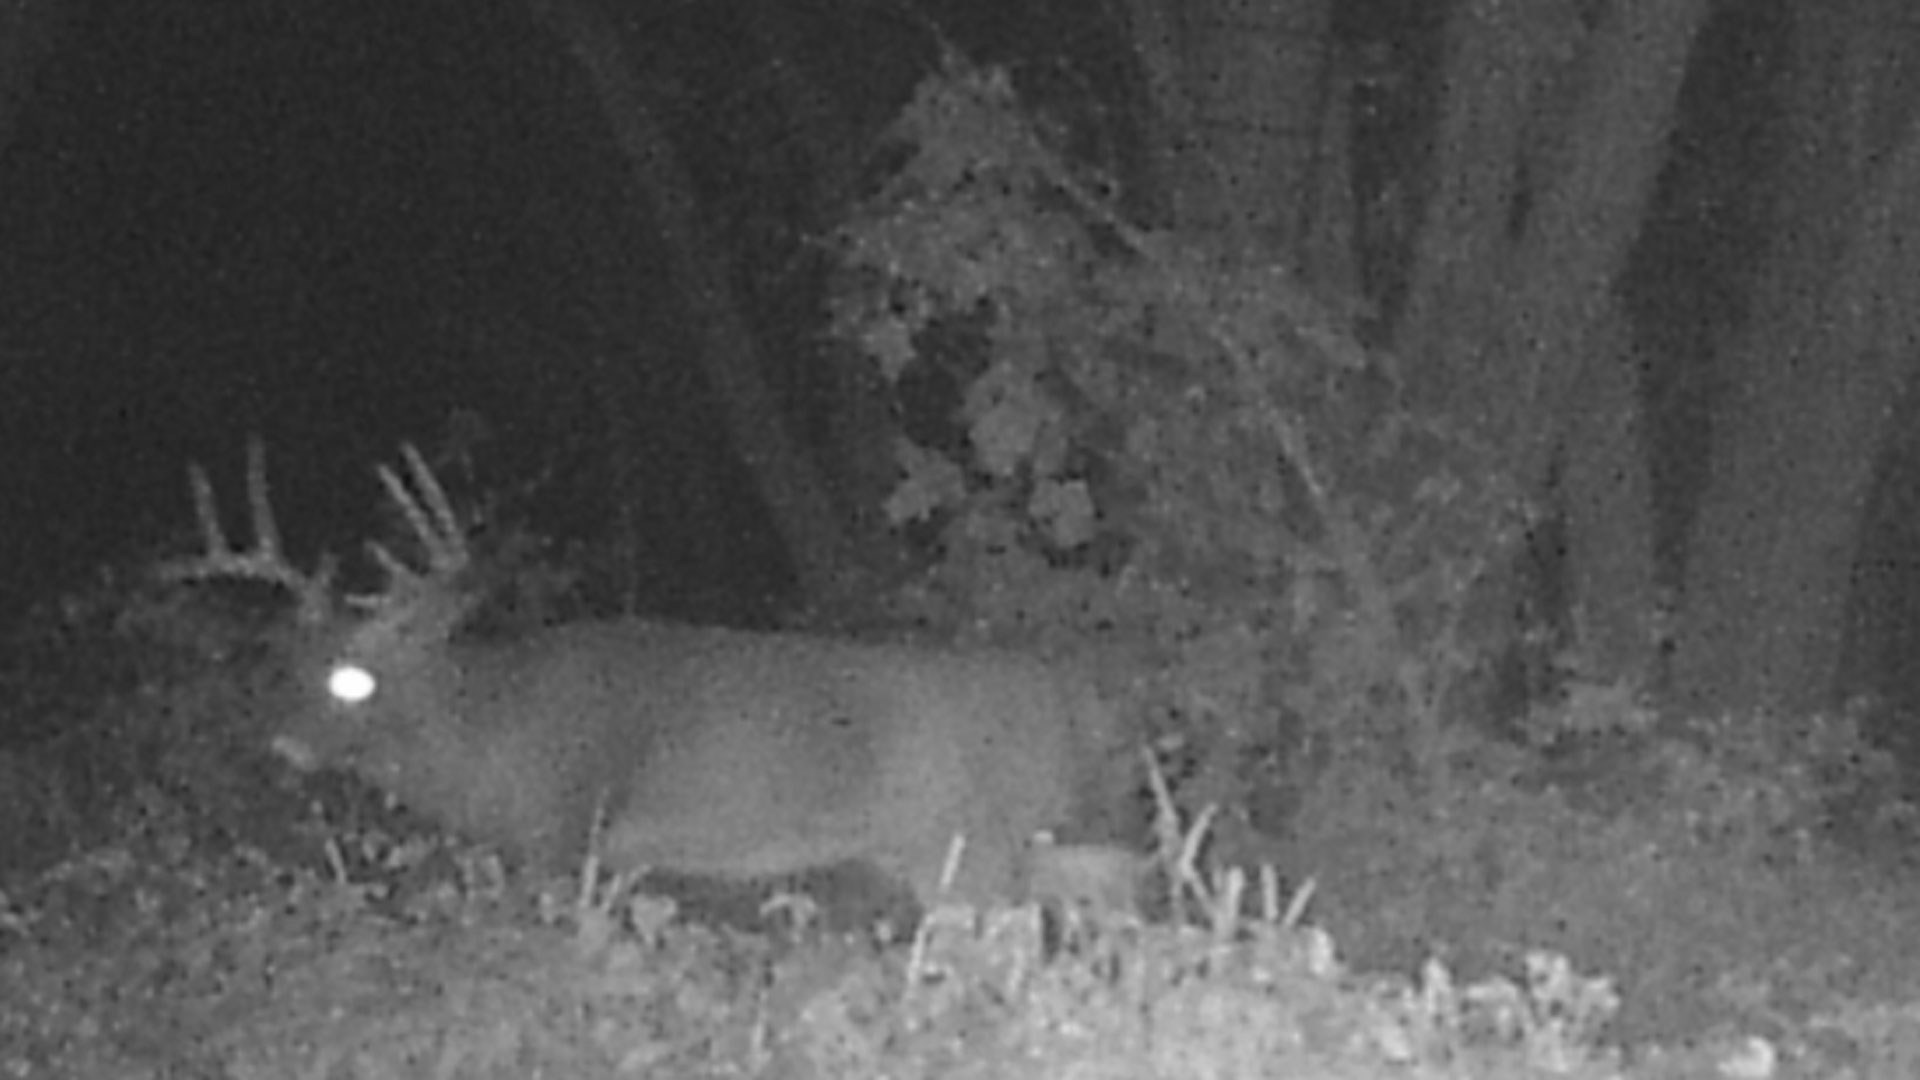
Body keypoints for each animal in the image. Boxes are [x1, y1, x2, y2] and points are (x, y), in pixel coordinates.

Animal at [165, 438, 1136, 907]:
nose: (282, 744)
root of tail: (1078, 700)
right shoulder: (623, 857)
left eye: (354, 680)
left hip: (966, 843)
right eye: (285, 662)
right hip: (1005, 841)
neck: (485, 733)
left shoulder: (566, 831)